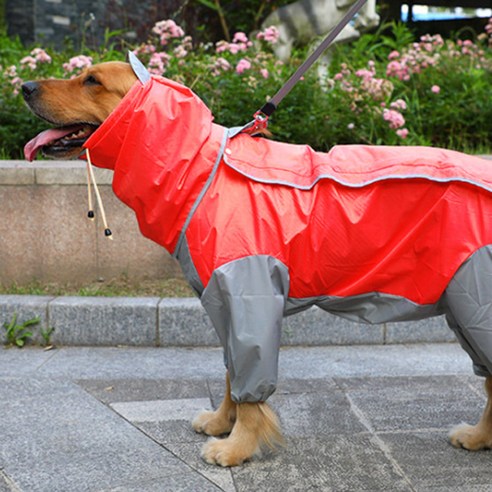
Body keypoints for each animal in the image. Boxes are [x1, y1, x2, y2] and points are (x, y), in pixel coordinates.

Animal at [21, 55, 492, 468]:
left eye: (92, 80)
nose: (23, 86)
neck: (203, 170)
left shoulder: (250, 294)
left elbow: (250, 381)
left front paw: (236, 448)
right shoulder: (221, 300)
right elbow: (232, 373)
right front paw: (221, 422)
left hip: (474, 300)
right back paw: (479, 437)